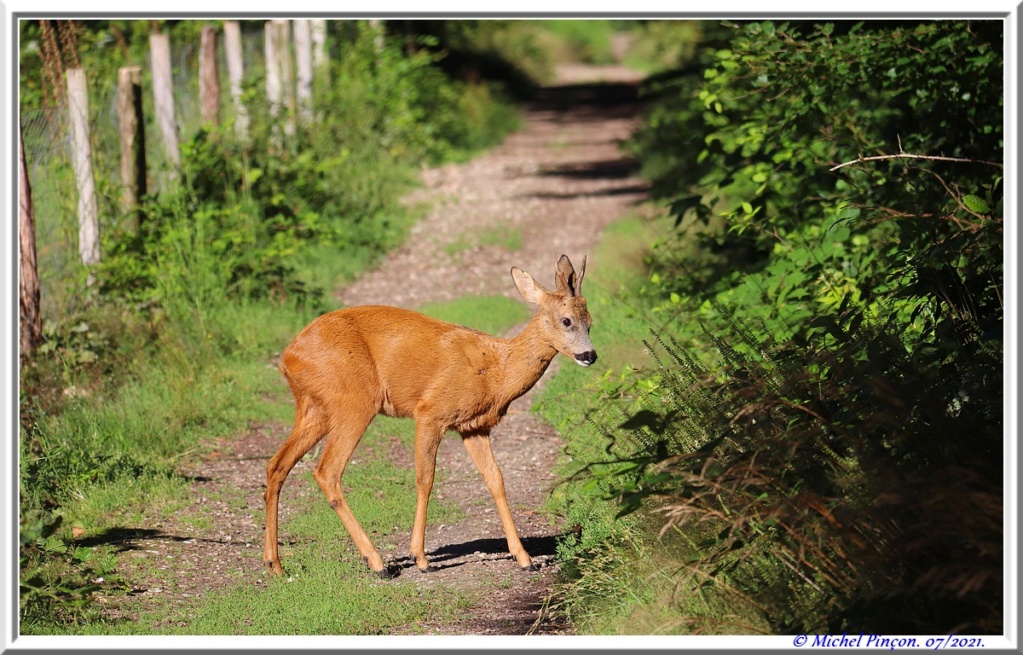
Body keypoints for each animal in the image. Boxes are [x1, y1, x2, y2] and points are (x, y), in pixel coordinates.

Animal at [263, 253, 597, 577]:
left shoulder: (473, 427)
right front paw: (420, 558)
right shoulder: (431, 412)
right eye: (566, 320)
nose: (590, 355)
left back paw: (275, 565)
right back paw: (378, 563)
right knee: (327, 471)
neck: (496, 370)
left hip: (314, 408)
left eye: (590, 322)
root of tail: (287, 358)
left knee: (277, 464)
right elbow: (426, 478)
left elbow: (496, 480)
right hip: (353, 400)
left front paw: (524, 558)